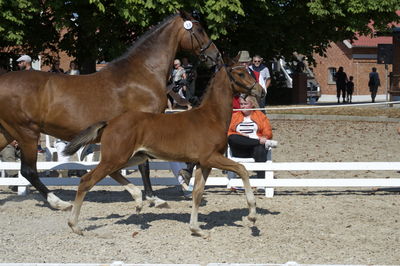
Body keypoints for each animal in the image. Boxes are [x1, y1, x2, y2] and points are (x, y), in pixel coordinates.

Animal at [63, 61, 262, 237]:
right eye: (240, 73)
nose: (260, 90)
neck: (212, 117)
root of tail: (110, 122)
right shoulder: (210, 158)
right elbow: (242, 169)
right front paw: (252, 216)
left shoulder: (203, 163)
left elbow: (197, 193)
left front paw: (196, 229)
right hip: (116, 158)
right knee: (87, 180)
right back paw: (74, 225)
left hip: (132, 157)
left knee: (113, 173)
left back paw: (138, 200)